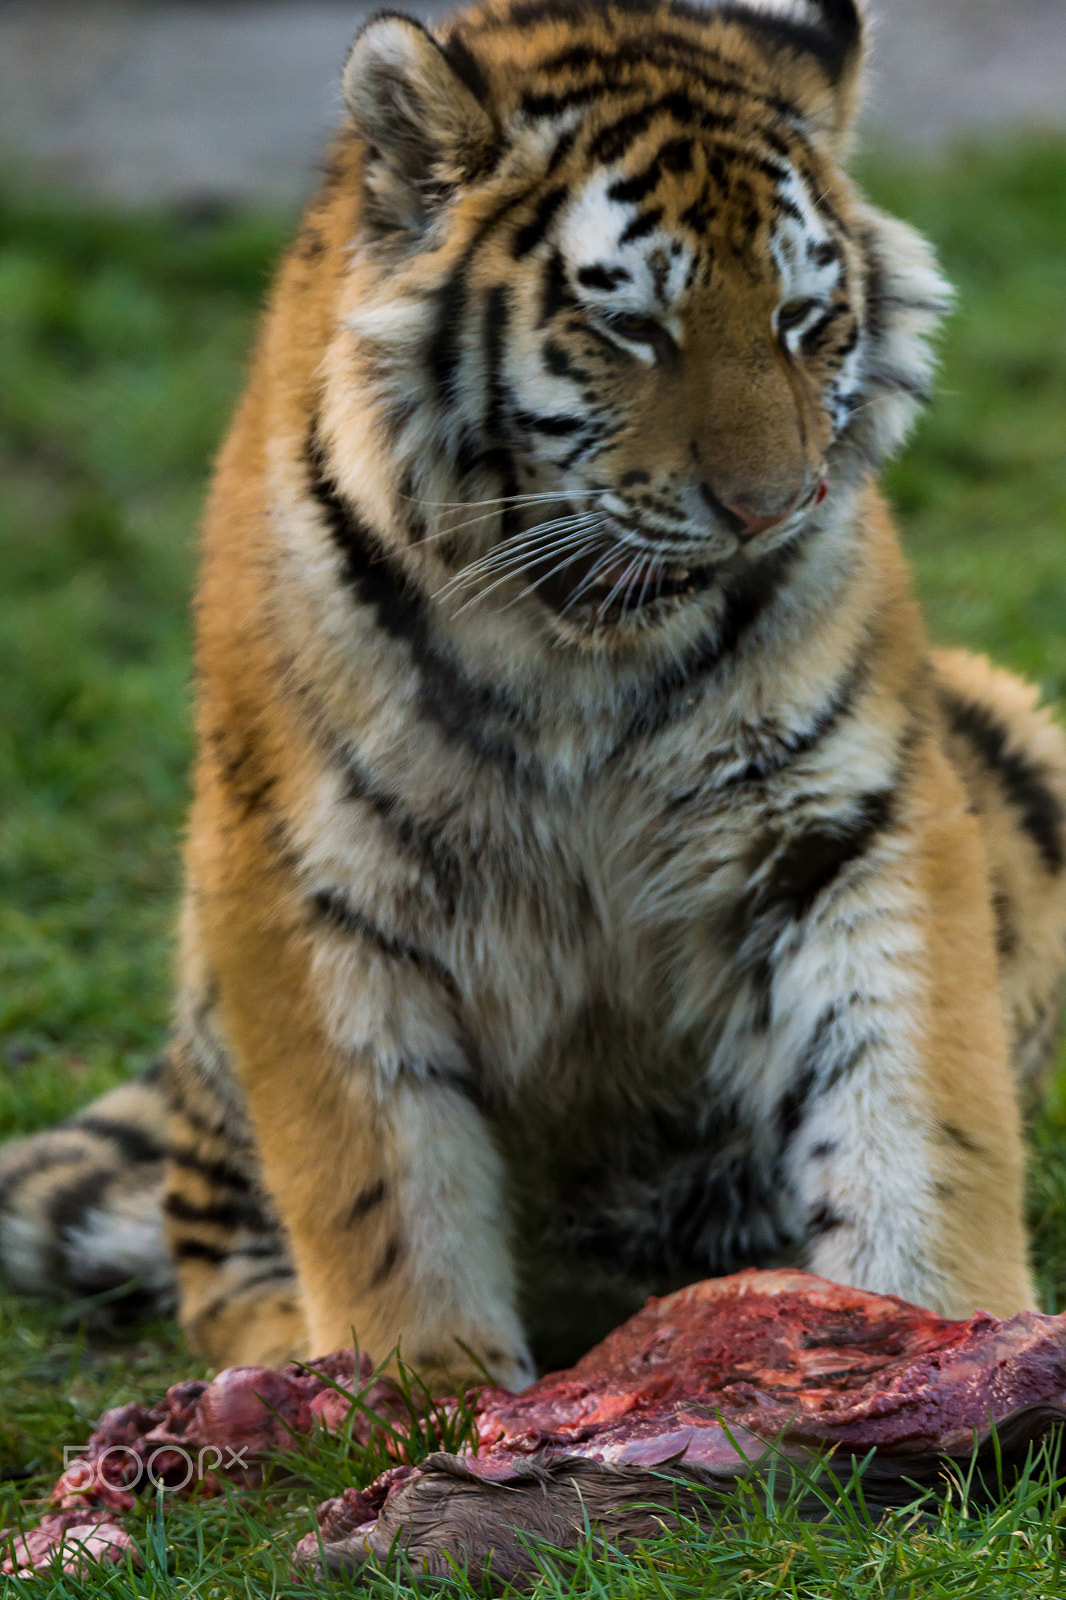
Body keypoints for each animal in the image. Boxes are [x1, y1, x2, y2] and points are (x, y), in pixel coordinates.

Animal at [2, 0, 1062, 1388]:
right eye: (634, 329)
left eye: (801, 317)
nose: (773, 507)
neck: (582, 645)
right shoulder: (306, 875)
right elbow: (382, 1184)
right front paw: (421, 1396)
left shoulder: (850, 819)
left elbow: (913, 1105)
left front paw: (956, 1336)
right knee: (209, 1249)